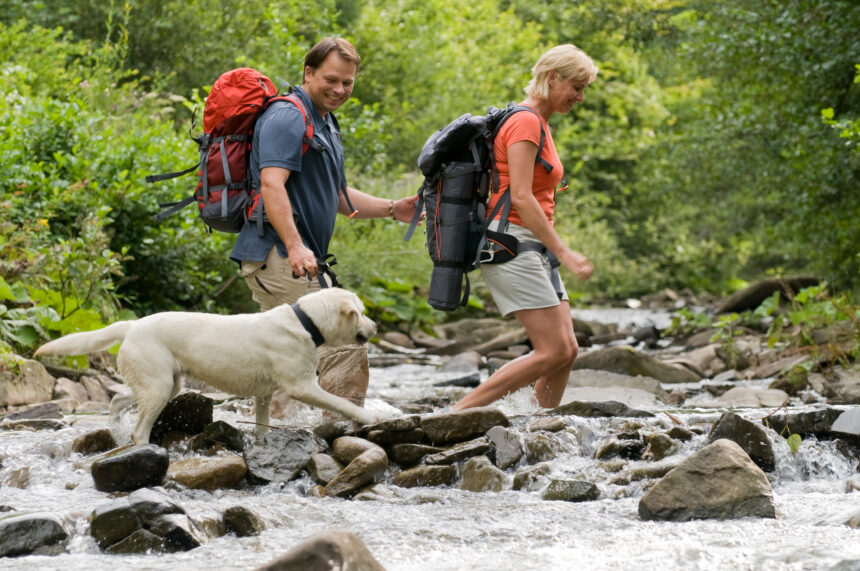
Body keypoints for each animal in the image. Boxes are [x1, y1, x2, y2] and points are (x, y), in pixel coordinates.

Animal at [36, 288, 380, 444]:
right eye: (361, 313)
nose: (375, 326)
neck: (306, 322)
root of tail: (132, 324)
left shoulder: (265, 393)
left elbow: (262, 422)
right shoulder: (303, 387)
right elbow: (342, 403)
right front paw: (372, 417)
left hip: (167, 383)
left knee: (119, 399)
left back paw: (116, 429)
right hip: (160, 386)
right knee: (139, 429)